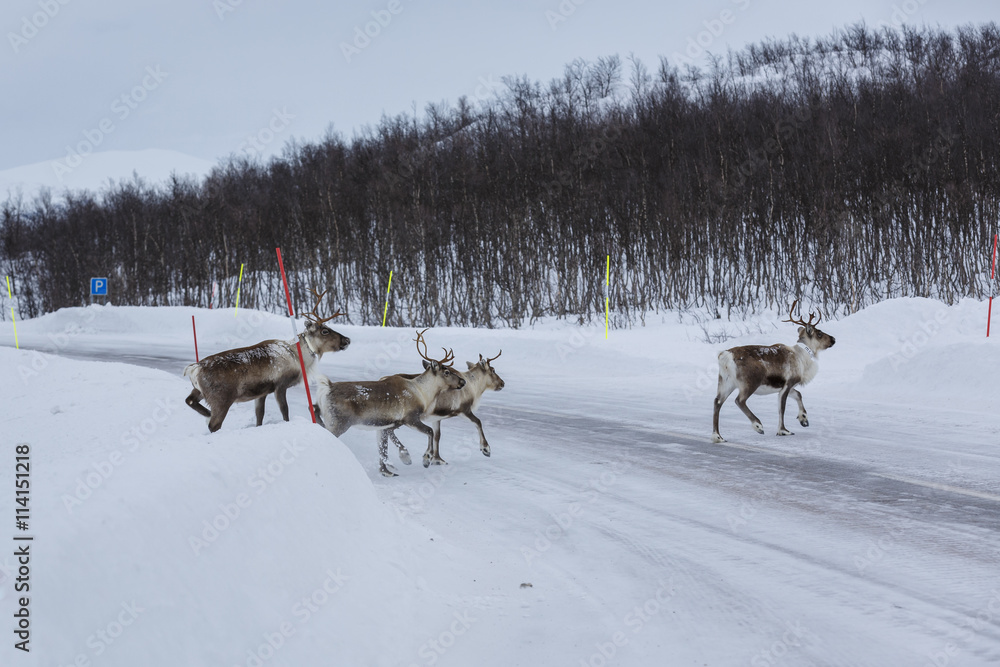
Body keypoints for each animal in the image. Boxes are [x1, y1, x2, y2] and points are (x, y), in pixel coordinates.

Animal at [184, 288, 350, 432]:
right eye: (325, 331)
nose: (347, 340)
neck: (298, 357)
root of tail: (194, 369)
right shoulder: (280, 385)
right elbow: (285, 411)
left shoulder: (262, 392)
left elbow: (260, 415)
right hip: (221, 398)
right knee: (214, 424)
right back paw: (209, 417)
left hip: (199, 390)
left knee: (189, 400)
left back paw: (206, 412)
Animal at [313, 329, 467, 477]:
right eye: (446, 372)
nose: (463, 381)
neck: (422, 393)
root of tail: (327, 387)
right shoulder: (410, 418)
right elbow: (430, 431)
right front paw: (425, 459)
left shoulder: (385, 424)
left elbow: (382, 447)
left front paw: (387, 471)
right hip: (339, 422)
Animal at [711, 301, 836, 443]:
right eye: (819, 333)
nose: (833, 339)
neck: (802, 356)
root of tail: (725, 356)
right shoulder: (788, 384)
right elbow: (782, 408)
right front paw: (783, 430)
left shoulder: (785, 387)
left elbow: (798, 394)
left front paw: (803, 419)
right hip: (750, 383)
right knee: (739, 400)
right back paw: (758, 425)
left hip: (726, 382)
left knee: (717, 402)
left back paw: (718, 436)